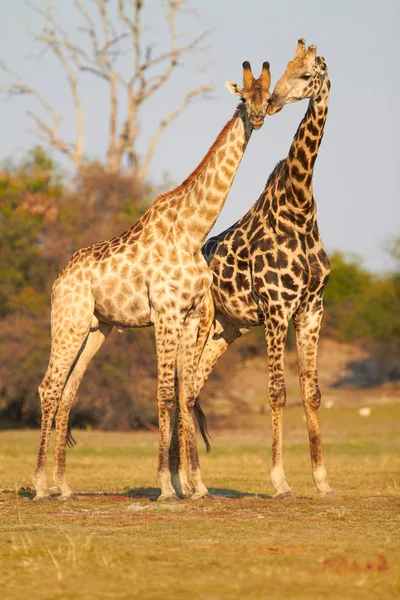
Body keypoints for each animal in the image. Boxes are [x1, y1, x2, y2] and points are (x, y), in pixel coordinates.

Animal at [32, 59, 272, 502]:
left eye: (269, 97)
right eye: (244, 97)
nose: (260, 116)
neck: (191, 230)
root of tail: (58, 281)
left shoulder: (191, 317)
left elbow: (185, 394)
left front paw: (198, 487)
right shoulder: (164, 313)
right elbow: (163, 395)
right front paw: (165, 487)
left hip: (97, 328)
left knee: (69, 391)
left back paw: (64, 486)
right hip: (68, 322)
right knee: (49, 387)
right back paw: (40, 487)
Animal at [171, 38, 334, 502]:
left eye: (305, 73)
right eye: (284, 70)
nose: (275, 103)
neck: (300, 206)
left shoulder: (311, 309)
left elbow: (312, 392)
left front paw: (322, 480)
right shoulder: (277, 309)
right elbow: (277, 391)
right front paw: (279, 481)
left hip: (227, 329)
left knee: (192, 388)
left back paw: (193, 481)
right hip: (199, 322)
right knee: (182, 389)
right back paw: (186, 482)